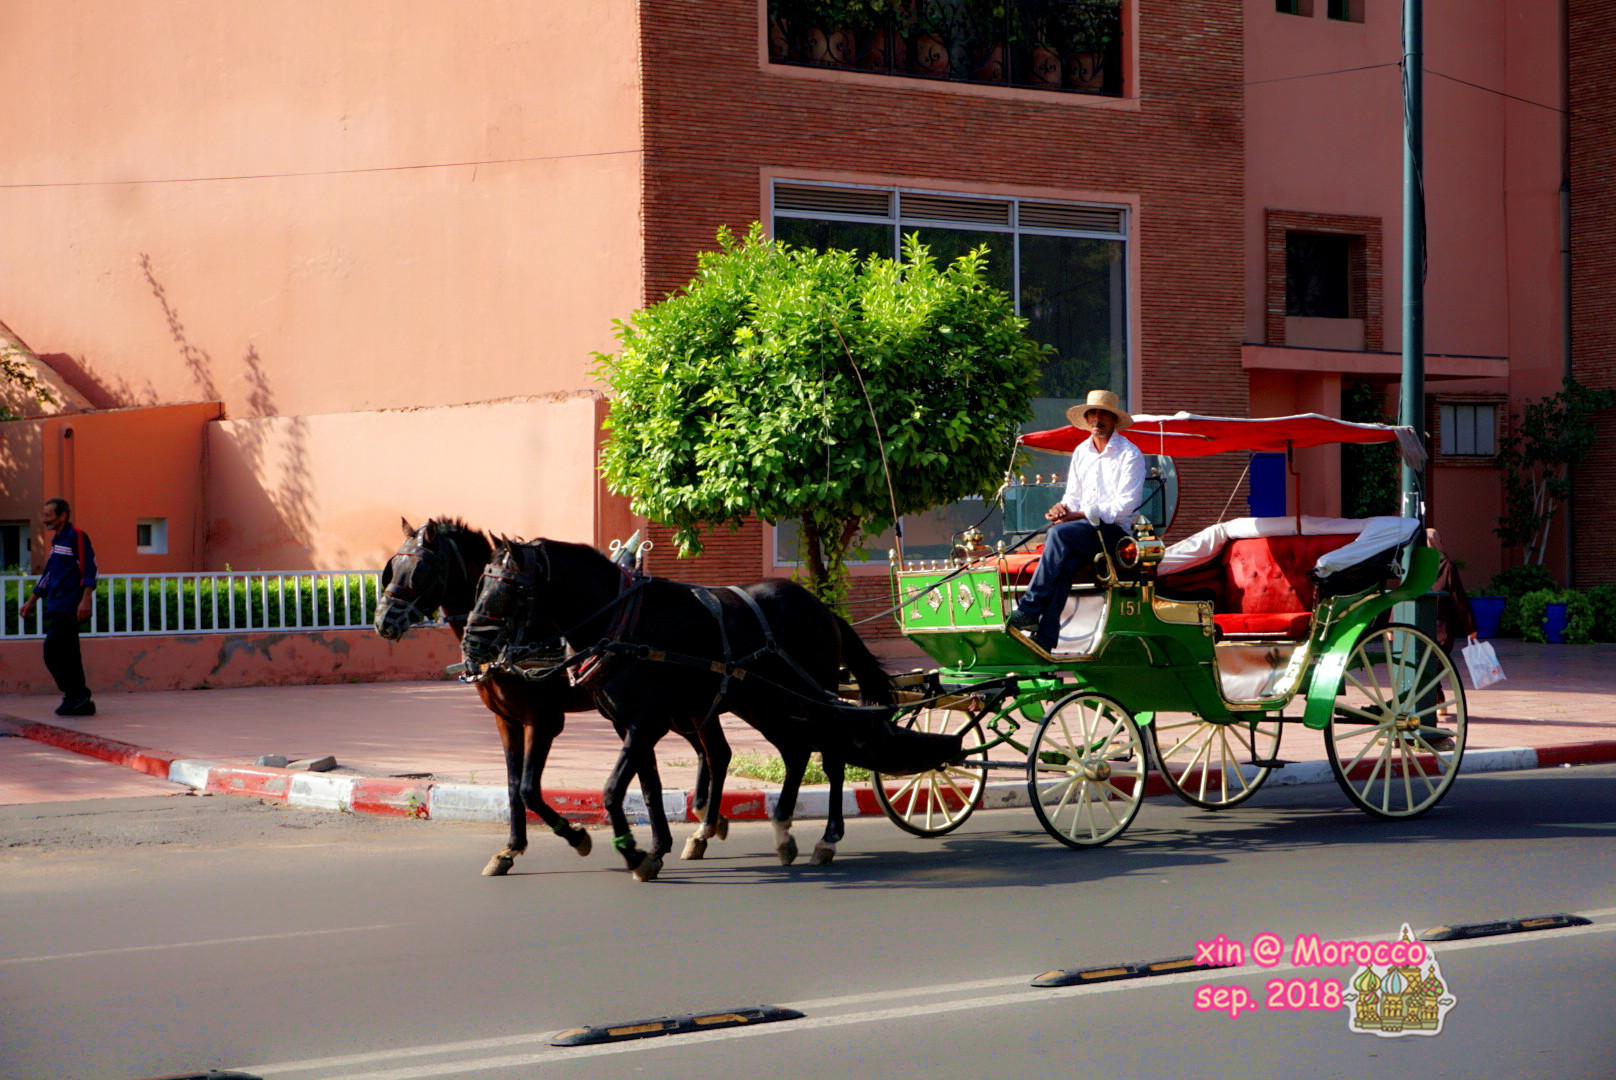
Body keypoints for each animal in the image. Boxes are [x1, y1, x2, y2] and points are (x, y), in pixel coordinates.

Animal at [371, 517, 733, 879]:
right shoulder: (506, 721)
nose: (383, 621)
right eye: (393, 567)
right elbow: (512, 786)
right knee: (706, 753)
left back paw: (704, 828)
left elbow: (528, 789)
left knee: (715, 753)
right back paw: (706, 818)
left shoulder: (542, 720)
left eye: (419, 571)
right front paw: (510, 849)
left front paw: (576, 836)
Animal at [462, 536, 917, 879]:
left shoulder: (639, 721)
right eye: (480, 583)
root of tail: (822, 608)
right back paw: (780, 830)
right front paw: (655, 849)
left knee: (832, 756)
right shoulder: (625, 723)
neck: (619, 621)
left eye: (507, 589)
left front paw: (629, 852)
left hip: (813, 696)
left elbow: (609, 789)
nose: (472, 644)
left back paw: (827, 837)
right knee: (793, 751)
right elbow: (647, 787)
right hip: (762, 702)